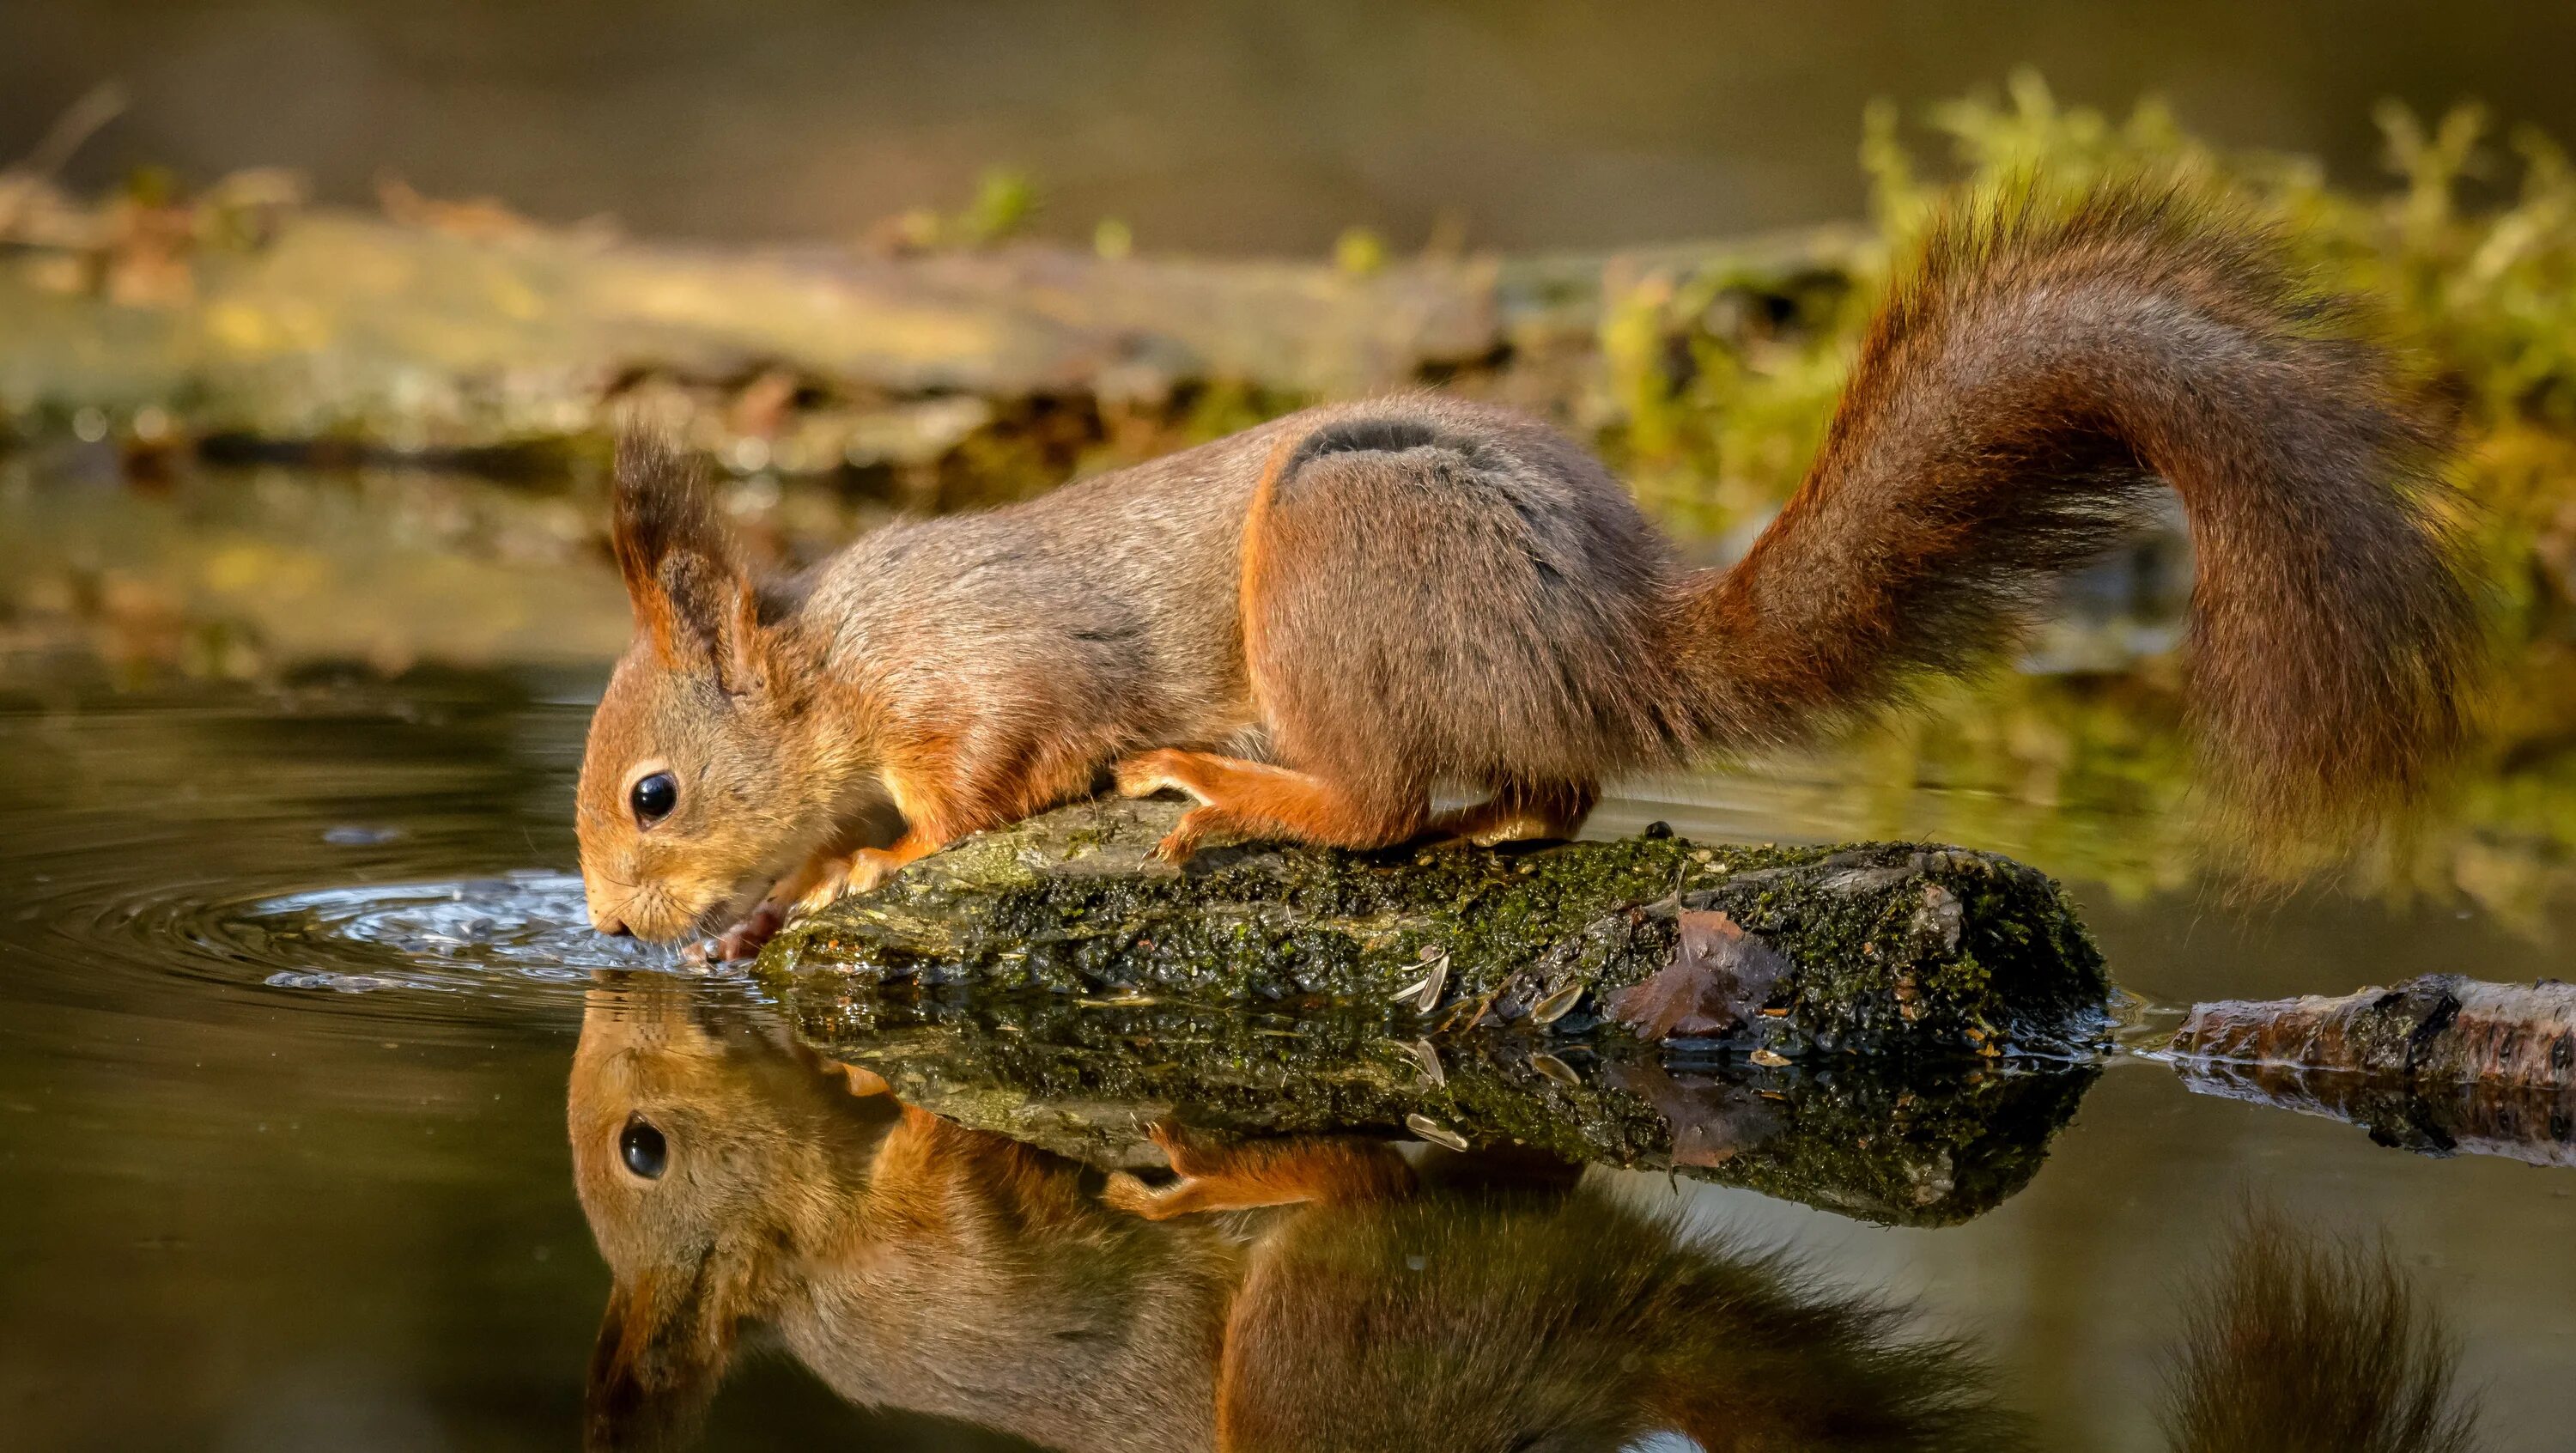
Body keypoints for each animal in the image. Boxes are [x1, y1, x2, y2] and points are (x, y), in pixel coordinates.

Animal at [580, 184, 2473, 953]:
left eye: (655, 795)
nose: (603, 926)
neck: (837, 665)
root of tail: (1613, 633)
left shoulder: (985, 678)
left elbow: (983, 786)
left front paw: (855, 868)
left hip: (1336, 554)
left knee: (1372, 802)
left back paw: (1231, 788)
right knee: (1545, 793)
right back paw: (1486, 820)